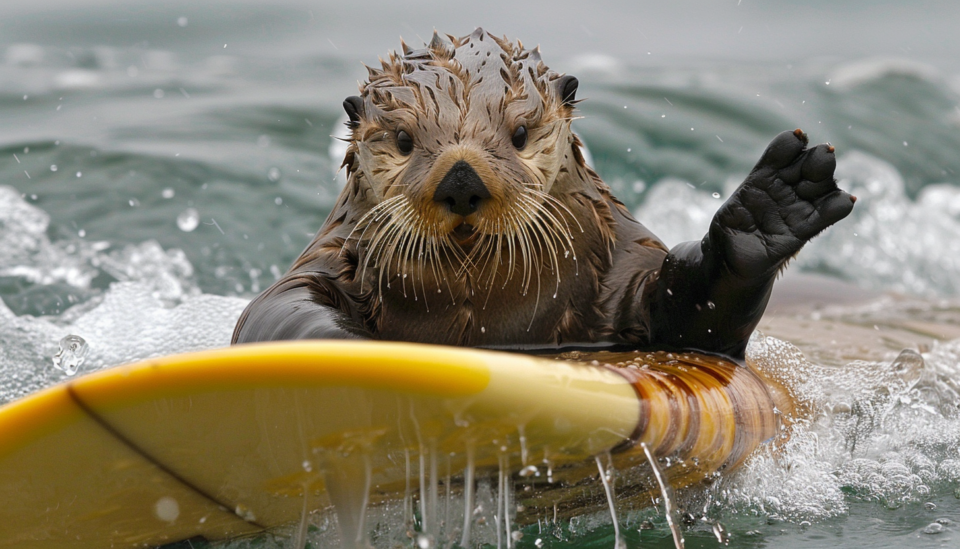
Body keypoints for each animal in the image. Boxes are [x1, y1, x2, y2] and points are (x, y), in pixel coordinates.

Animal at [234, 27, 856, 358]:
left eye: (520, 133)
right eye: (406, 140)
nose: (461, 180)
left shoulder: (618, 270)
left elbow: (688, 324)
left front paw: (764, 214)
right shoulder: (325, 261)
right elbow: (269, 316)